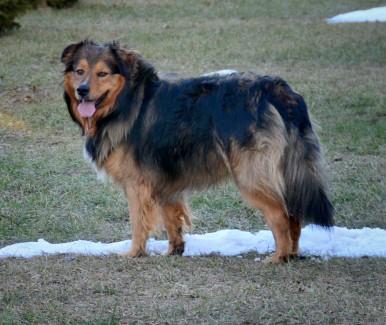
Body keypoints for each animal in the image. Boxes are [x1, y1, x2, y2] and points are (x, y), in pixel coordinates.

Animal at [61, 39, 334, 264]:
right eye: (79, 71)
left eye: (103, 73)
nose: (82, 90)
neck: (125, 101)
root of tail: (276, 89)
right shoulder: (164, 182)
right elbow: (172, 219)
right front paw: (174, 251)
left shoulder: (137, 184)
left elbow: (139, 222)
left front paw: (134, 253)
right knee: (294, 214)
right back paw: (293, 254)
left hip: (251, 175)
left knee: (280, 214)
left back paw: (279, 257)